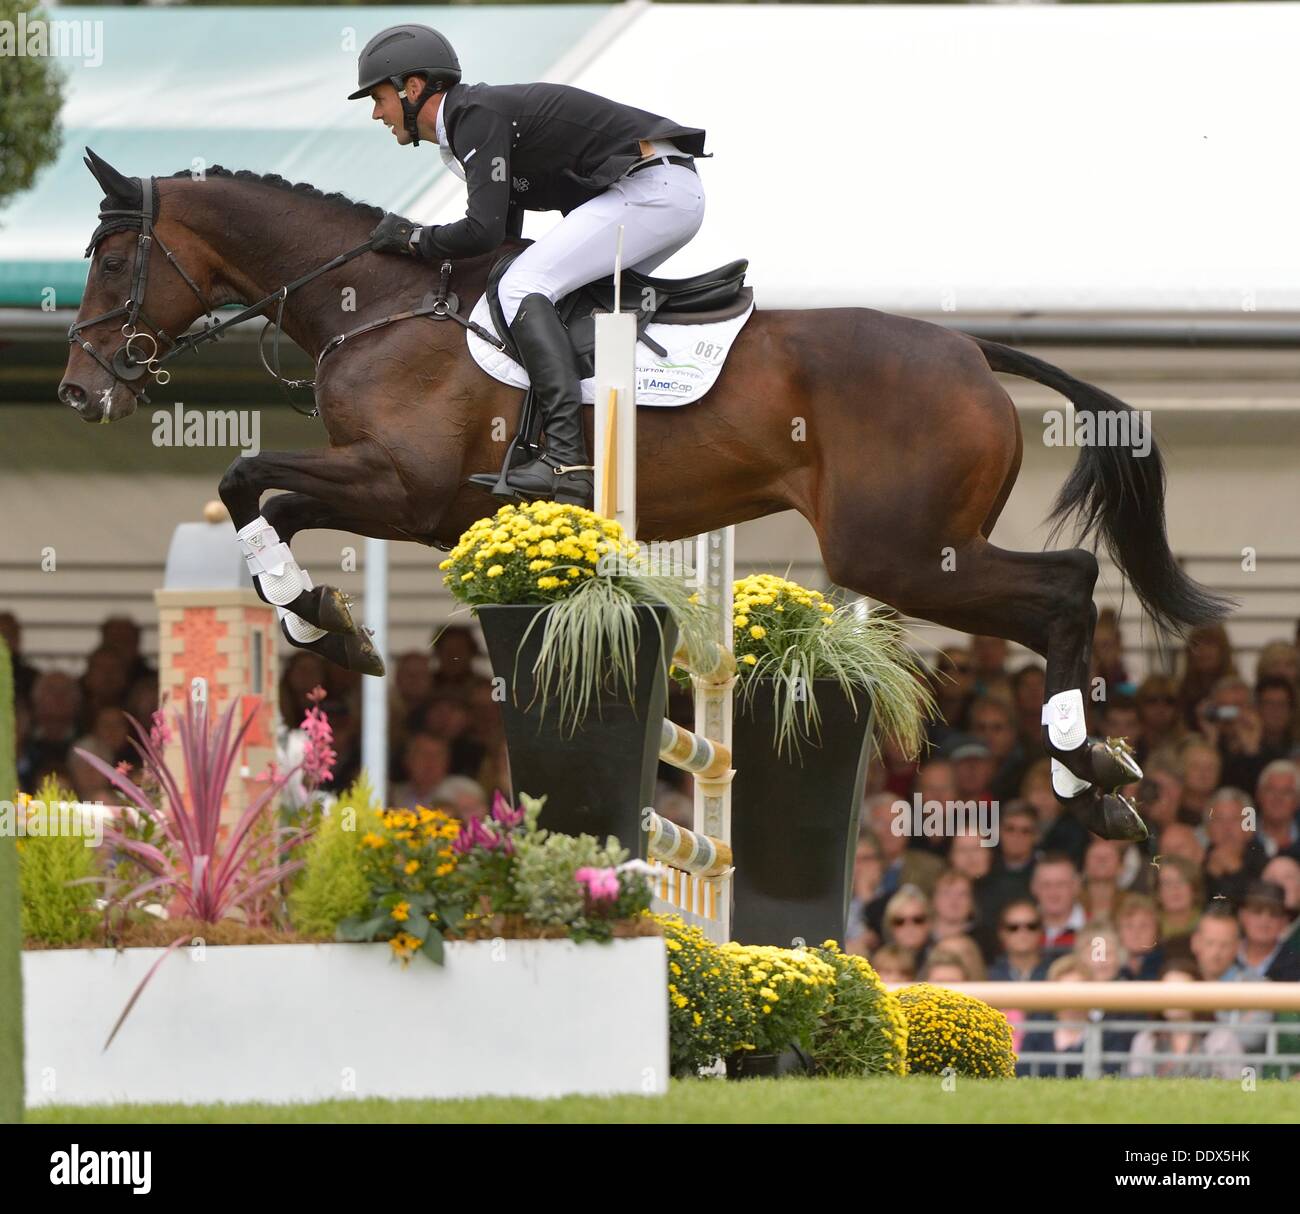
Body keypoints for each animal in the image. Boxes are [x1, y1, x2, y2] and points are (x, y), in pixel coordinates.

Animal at [55, 152, 1227, 842]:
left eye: (111, 259)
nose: (78, 390)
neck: (376, 302)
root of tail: (973, 350)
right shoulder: (394, 492)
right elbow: (265, 506)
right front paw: (325, 621)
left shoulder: (407, 490)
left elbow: (245, 478)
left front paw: (321, 620)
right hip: (918, 547)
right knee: (1065, 587)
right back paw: (1101, 772)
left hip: (900, 552)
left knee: (1066, 587)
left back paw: (1084, 771)